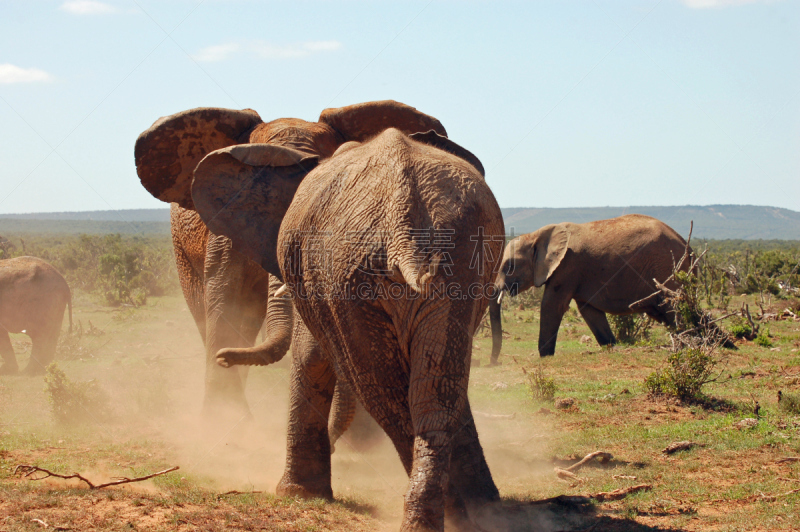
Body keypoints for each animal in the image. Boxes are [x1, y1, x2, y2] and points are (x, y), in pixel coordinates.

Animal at [135, 98, 504, 528]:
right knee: (434, 383)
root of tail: (405, 219)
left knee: (385, 385)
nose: (225, 359)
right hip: (448, 259)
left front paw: (297, 493)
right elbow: (231, 301)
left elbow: (311, 351)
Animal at [490, 215, 692, 362]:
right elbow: (589, 310)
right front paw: (611, 347)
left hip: (667, 269)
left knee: (674, 309)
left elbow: (552, 305)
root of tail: (687, 246)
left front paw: (545, 357)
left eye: (509, 266)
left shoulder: (567, 266)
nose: (493, 363)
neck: (536, 235)